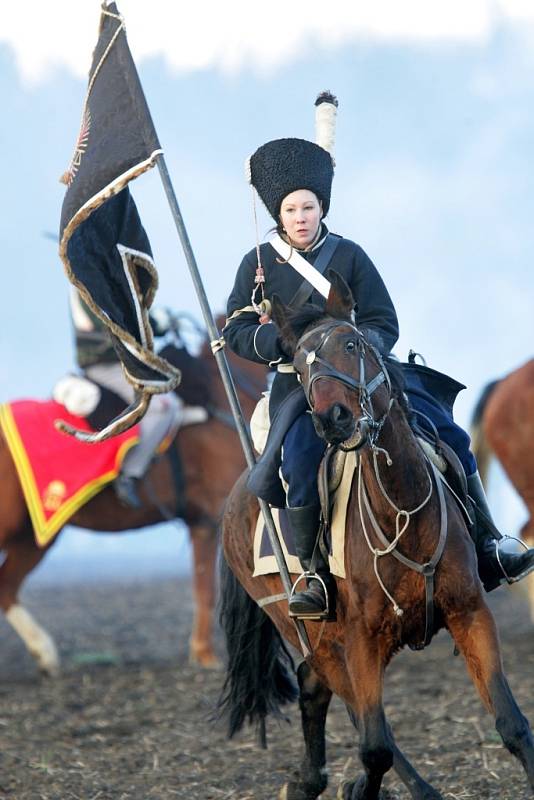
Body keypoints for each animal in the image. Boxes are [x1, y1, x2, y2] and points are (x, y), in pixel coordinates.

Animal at [0, 318, 266, 676]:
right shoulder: (208, 522)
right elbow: (205, 590)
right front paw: (205, 656)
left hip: (34, 536)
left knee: (6, 588)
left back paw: (45, 655)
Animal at [219, 272, 534, 796]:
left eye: (353, 343)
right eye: (298, 367)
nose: (333, 419)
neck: (402, 513)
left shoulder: (470, 614)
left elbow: (511, 723)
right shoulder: (361, 640)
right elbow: (374, 746)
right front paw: (361, 786)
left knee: (318, 691)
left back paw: (310, 780)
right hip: (310, 632)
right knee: (350, 710)